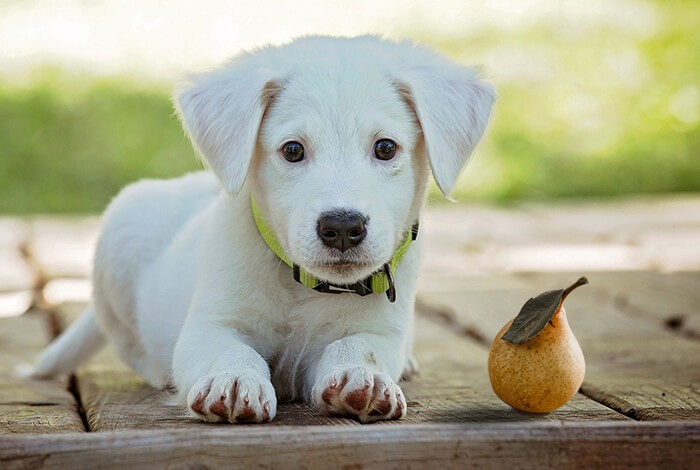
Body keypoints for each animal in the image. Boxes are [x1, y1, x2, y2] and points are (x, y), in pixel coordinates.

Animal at [30, 36, 494, 424]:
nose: (343, 227)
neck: (302, 286)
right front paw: (234, 380)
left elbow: (358, 346)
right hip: (120, 238)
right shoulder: (210, 325)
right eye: (292, 150)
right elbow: (230, 350)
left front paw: (362, 377)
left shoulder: (380, 331)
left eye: (385, 148)